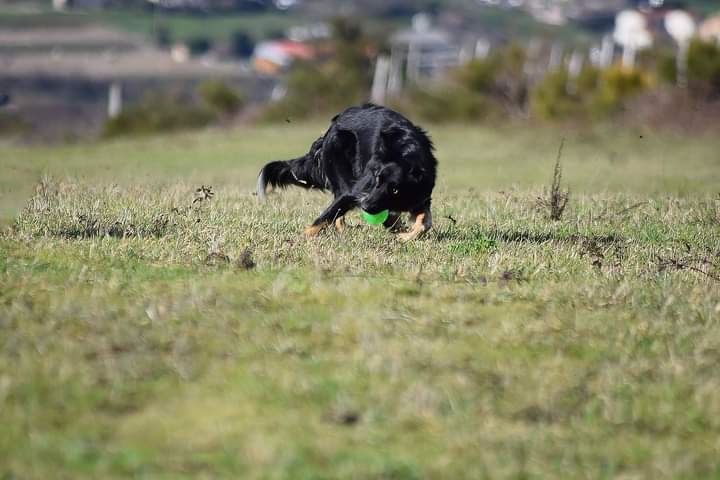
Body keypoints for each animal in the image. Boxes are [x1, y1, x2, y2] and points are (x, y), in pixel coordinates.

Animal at [258, 104, 438, 240]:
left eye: (395, 189)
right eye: (377, 179)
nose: (364, 205)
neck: (408, 154)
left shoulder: (420, 196)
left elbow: (425, 222)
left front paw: (405, 235)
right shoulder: (357, 191)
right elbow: (324, 217)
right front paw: (302, 237)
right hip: (339, 155)